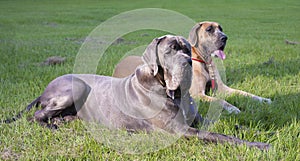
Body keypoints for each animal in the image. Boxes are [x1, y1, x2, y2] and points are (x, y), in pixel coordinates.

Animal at [4, 35, 270, 150]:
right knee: (35, 117)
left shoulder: (196, 119)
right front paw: (259, 145)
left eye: (187, 49)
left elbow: (223, 126)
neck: (173, 93)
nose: (187, 63)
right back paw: (52, 125)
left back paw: (64, 121)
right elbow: (220, 136)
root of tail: (45, 89)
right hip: (75, 87)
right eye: (170, 50)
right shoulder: (181, 131)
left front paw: (252, 129)